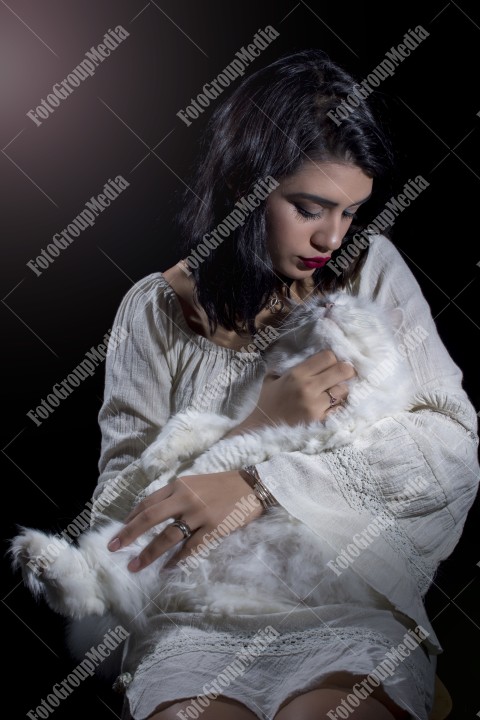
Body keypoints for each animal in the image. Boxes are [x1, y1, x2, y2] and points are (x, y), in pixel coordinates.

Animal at [10, 292, 412, 632]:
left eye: (352, 307)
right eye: (316, 305)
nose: (327, 303)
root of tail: (176, 587)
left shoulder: (302, 434)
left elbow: (218, 455)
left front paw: (179, 479)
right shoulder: (247, 418)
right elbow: (192, 426)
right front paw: (156, 466)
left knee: (99, 593)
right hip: (137, 554)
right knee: (92, 590)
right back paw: (35, 554)